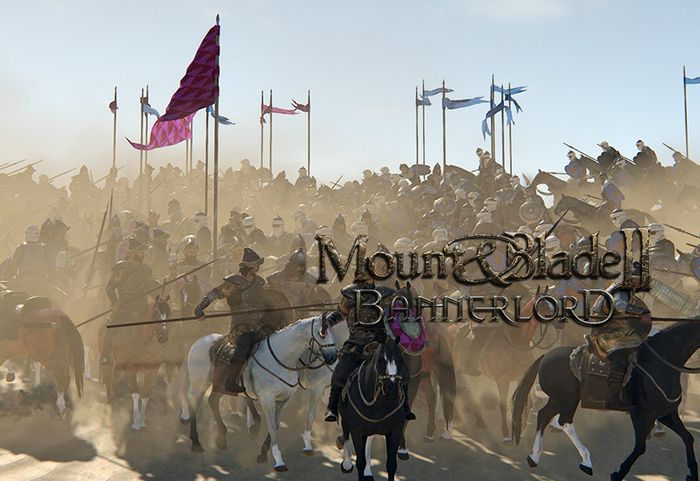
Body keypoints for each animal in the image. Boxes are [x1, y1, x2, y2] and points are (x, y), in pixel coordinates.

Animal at [102, 294, 170, 430]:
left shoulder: (152, 371)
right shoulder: (130, 369)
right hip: (109, 362)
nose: (163, 337)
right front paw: (136, 423)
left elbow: (145, 394)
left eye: (169, 313)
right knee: (108, 380)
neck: (141, 340)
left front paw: (142, 421)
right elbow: (135, 393)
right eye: (155, 314)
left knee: (114, 382)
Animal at [180, 316, 334, 468]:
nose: (332, 357)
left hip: (219, 386)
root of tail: (198, 342)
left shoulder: (285, 399)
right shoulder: (268, 399)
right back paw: (196, 442)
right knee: (194, 405)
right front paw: (278, 461)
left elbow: (276, 424)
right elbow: (271, 426)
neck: (281, 359)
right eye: (322, 333)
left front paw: (263, 452)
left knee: (212, 400)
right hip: (199, 383)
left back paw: (222, 438)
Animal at [340, 338, 410, 480]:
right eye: (380, 361)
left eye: (401, 360)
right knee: (345, 432)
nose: (392, 390)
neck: (378, 406)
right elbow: (360, 462)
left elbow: (391, 465)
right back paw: (347, 463)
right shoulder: (357, 431)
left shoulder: (395, 430)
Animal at [508, 318, 700, 480]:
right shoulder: (641, 415)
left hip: (563, 399)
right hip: (565, 398)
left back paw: (535, 457)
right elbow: (640, 447)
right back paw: (585, 461)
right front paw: (618, 473)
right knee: (561, 420)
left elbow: (688, 437)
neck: (659, 363)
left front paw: (692, 474)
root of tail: (545, 357)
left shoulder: (666, 414)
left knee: (546, 416)